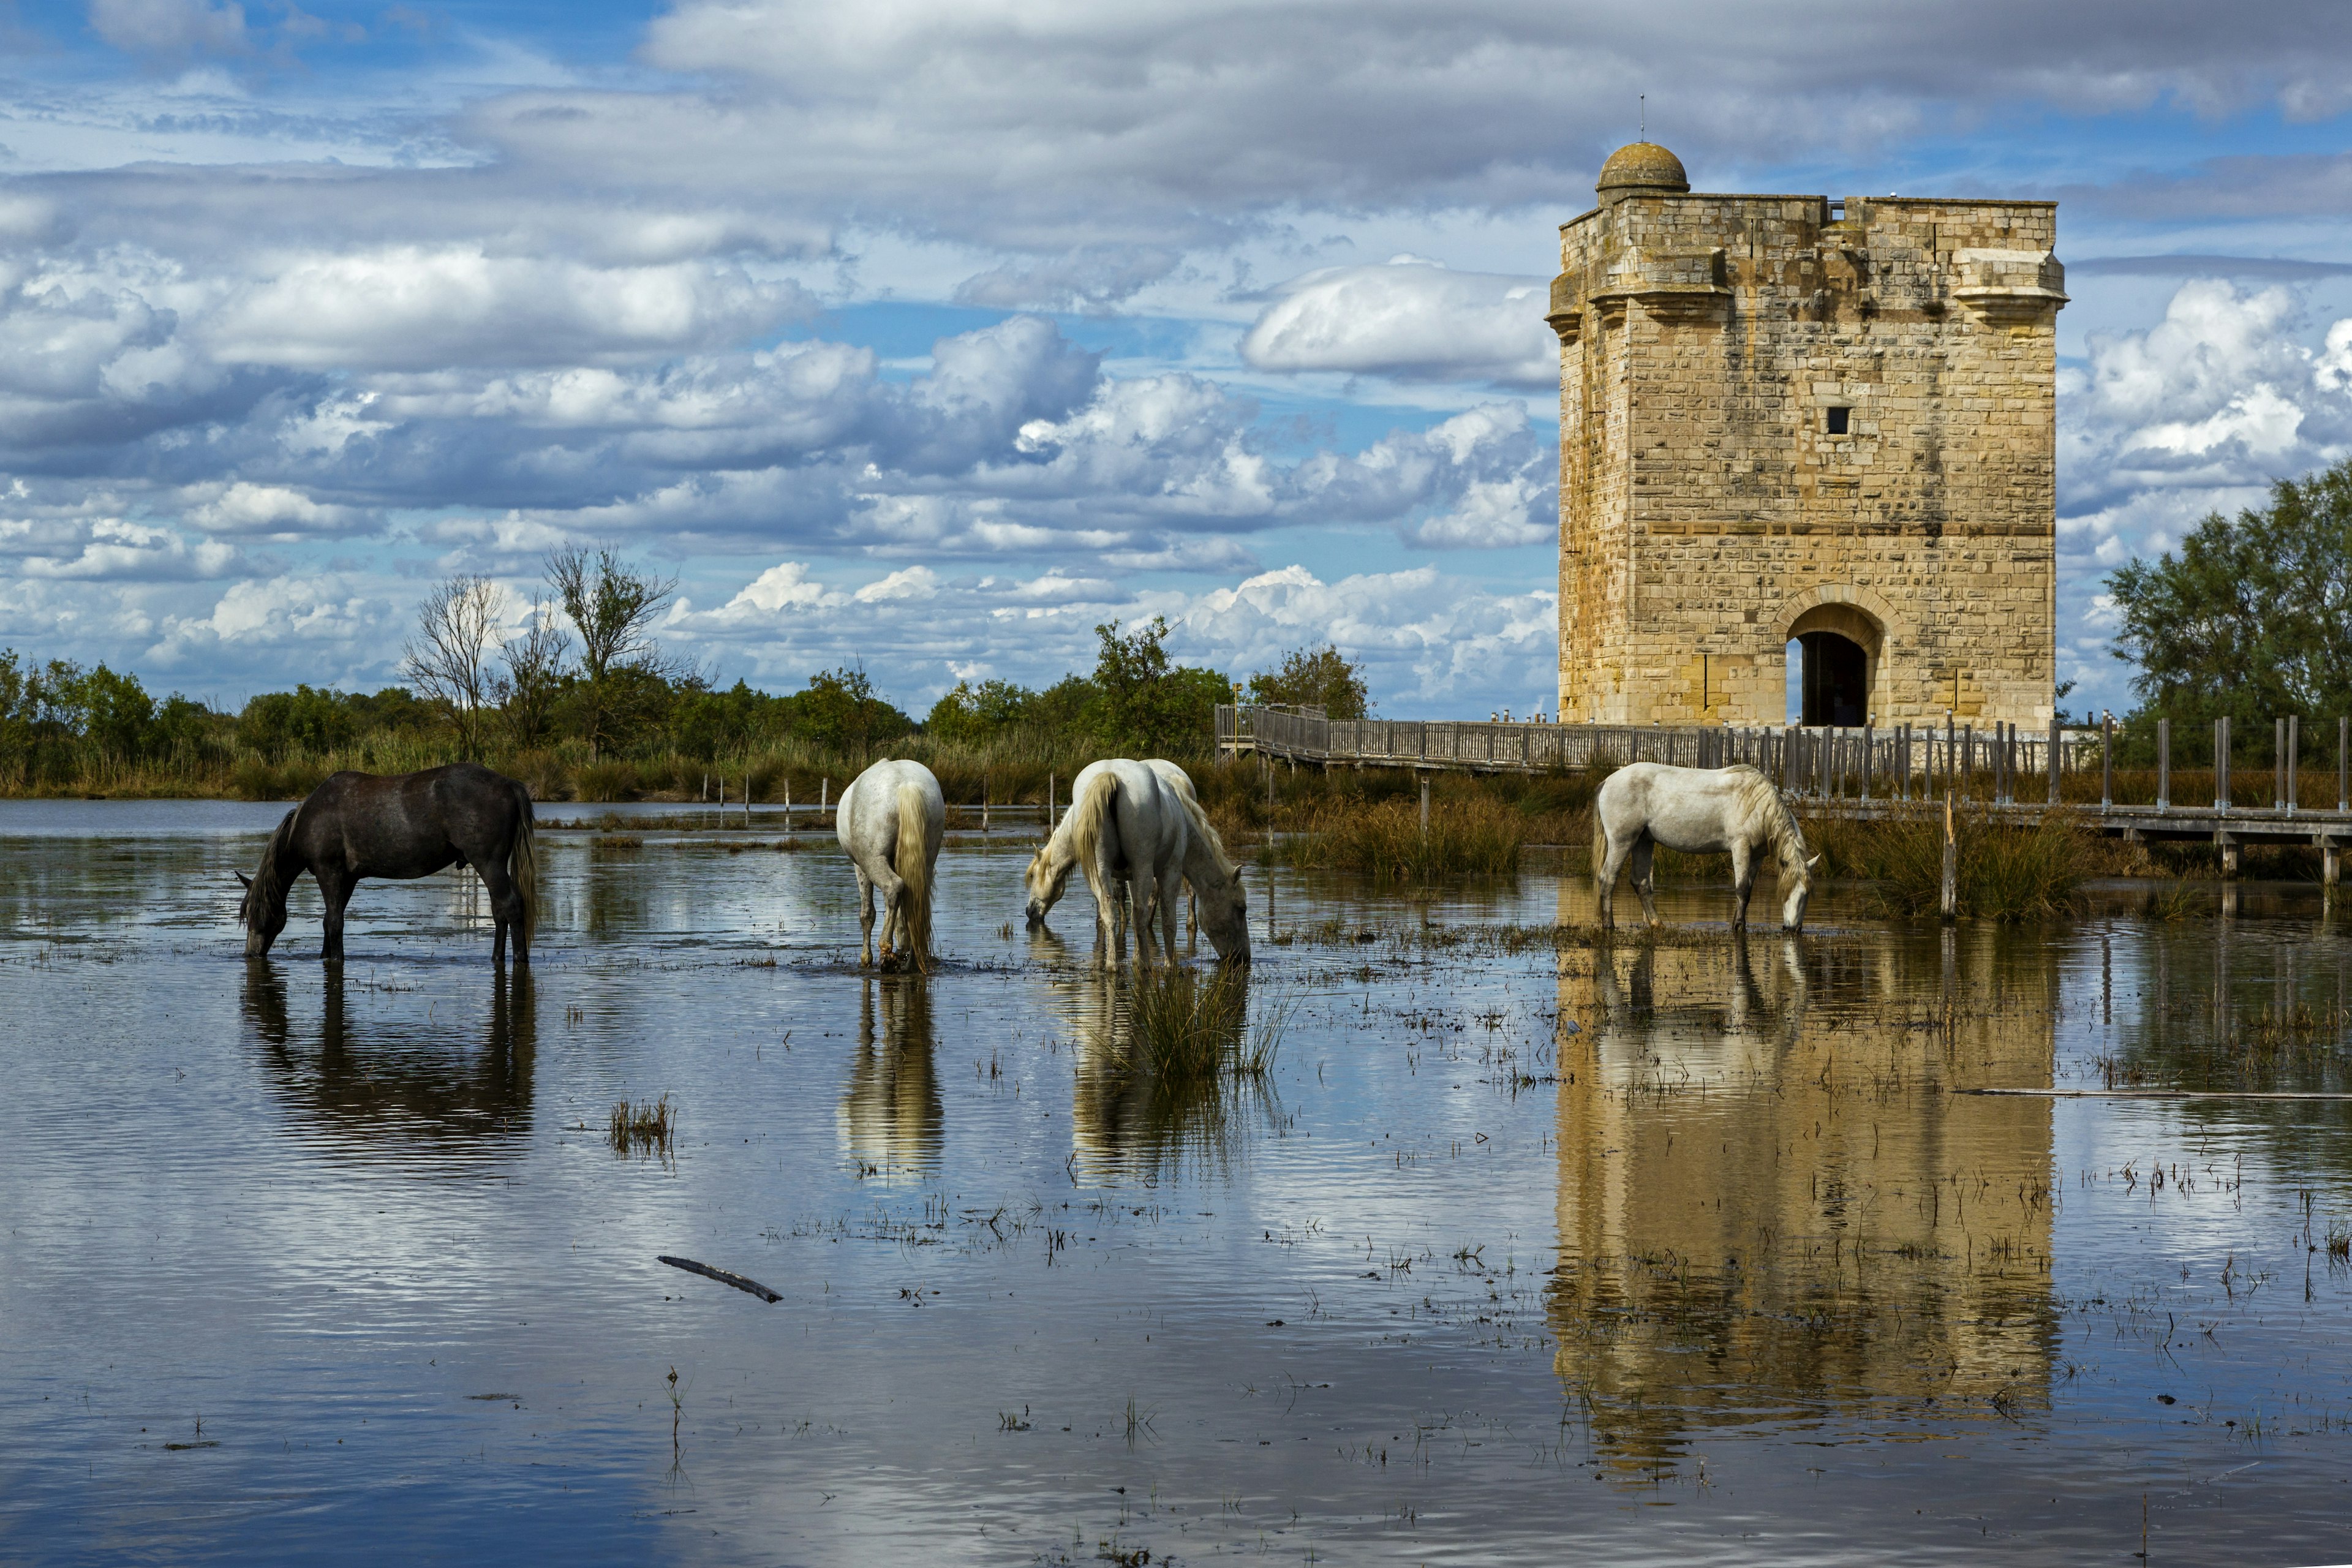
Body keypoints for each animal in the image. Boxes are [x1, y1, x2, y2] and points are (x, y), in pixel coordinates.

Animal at [239, 761, 541, 963]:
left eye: (255, 912)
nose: (250, 954)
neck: (309, 820)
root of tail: (508, 784)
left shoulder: (329, 873)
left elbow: (335, 922)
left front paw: (336, 959)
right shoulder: (347, 879)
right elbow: (328, 921)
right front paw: (325, 956)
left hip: (489, 864)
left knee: (511, 906)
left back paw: (520, 959)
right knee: (499, 911)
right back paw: (496, 958)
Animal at [837, 756, 945, 968]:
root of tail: (906, 784)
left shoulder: (860, 867)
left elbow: (867, 914)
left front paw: (866, 958)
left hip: (872, 861)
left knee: (893, 887)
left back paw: (886, 952)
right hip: (927, 862)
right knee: (917, 905)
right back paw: (912, 962)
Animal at [1599, 761, 1815, 930]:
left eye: (1807, 894)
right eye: (1787, 890)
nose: (1793, 929)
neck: (1757, 804)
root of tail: (1608, 781)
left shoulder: (1756, 856)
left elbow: (1748, 890)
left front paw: (1738, 923)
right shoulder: (1740, 847)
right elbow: (1742, 890)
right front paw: (1739, 927)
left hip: (1643, 841)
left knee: (1641, 883)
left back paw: (1657, 924)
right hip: (1622, 842)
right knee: (1608, 879)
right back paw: (1609, 925)